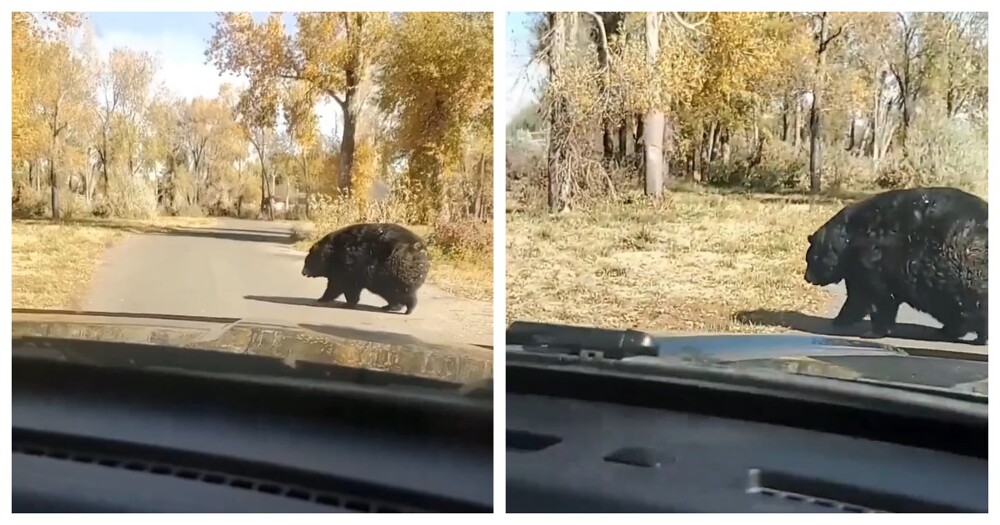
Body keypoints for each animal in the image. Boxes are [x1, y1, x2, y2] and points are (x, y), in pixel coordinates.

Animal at [298, 222, 428, 314]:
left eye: (307, 261)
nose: (303, 272)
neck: (331, 253)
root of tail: (421, 250)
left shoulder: (348, 265)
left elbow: (340, 285)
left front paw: (323, 299)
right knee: (392, 293)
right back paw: (390, 306)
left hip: (394, 270)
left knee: (400, 291)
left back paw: (408, 308)